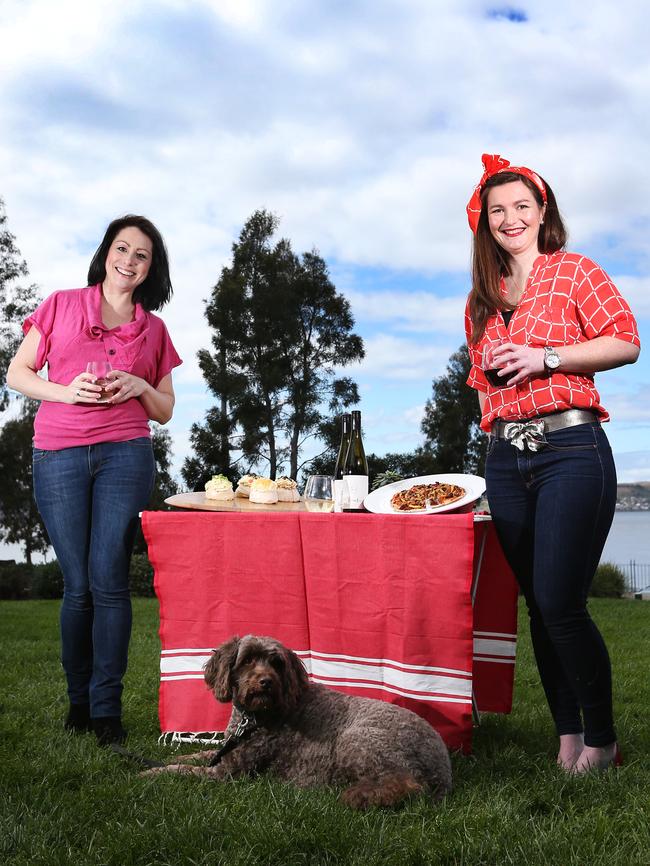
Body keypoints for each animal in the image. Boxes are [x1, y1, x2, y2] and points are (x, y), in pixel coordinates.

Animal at [146, 632, 450, 808]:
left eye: (276, 663)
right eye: (247, 660)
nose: (266, 682)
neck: (252, 719)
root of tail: (443, 765)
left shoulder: (229, 772)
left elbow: (182, 770)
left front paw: (149, 774)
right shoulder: (227, 750)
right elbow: (196, 755)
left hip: (356, 739)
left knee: (407, 784)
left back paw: (358, 796)